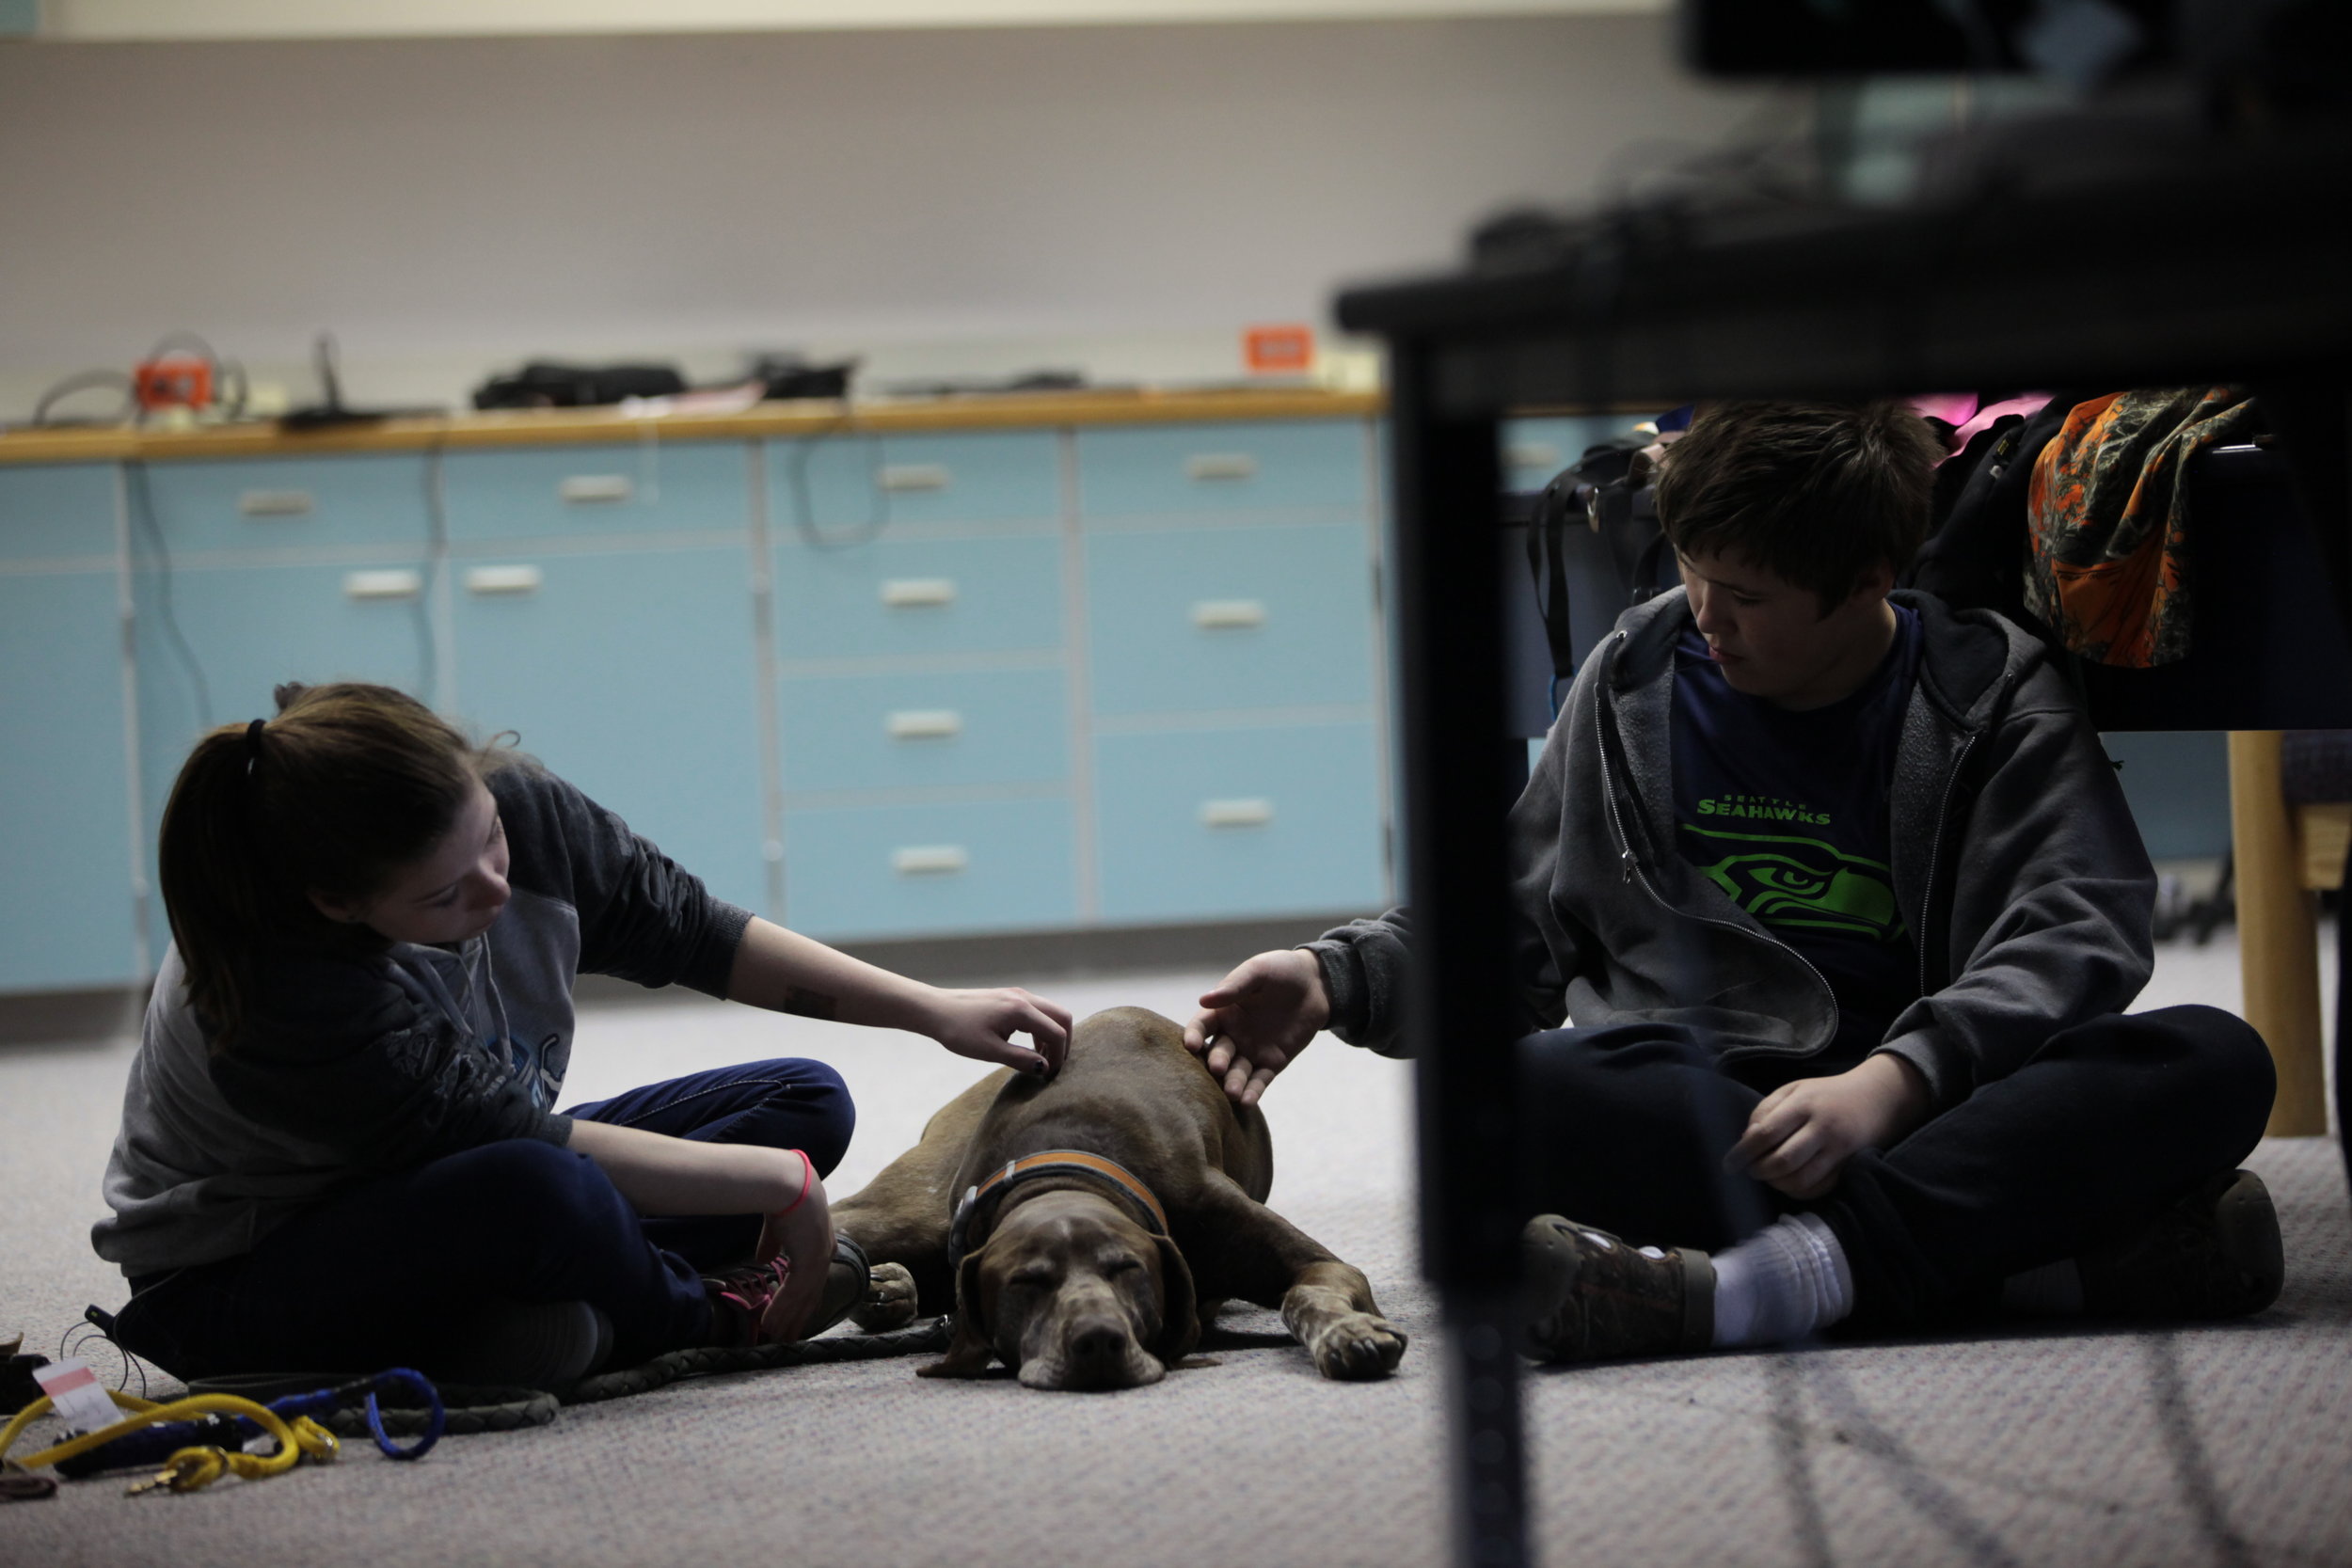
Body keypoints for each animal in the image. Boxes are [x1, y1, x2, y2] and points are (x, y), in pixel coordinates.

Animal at [837, 1006, 1402, 1382]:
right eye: (1026, 1284)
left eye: (1128, 1269)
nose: (1096, 1344)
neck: (1066, 1167)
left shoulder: (1316, 1264)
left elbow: (1303, 1295)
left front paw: (1348, 1335)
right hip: (917, 1217)